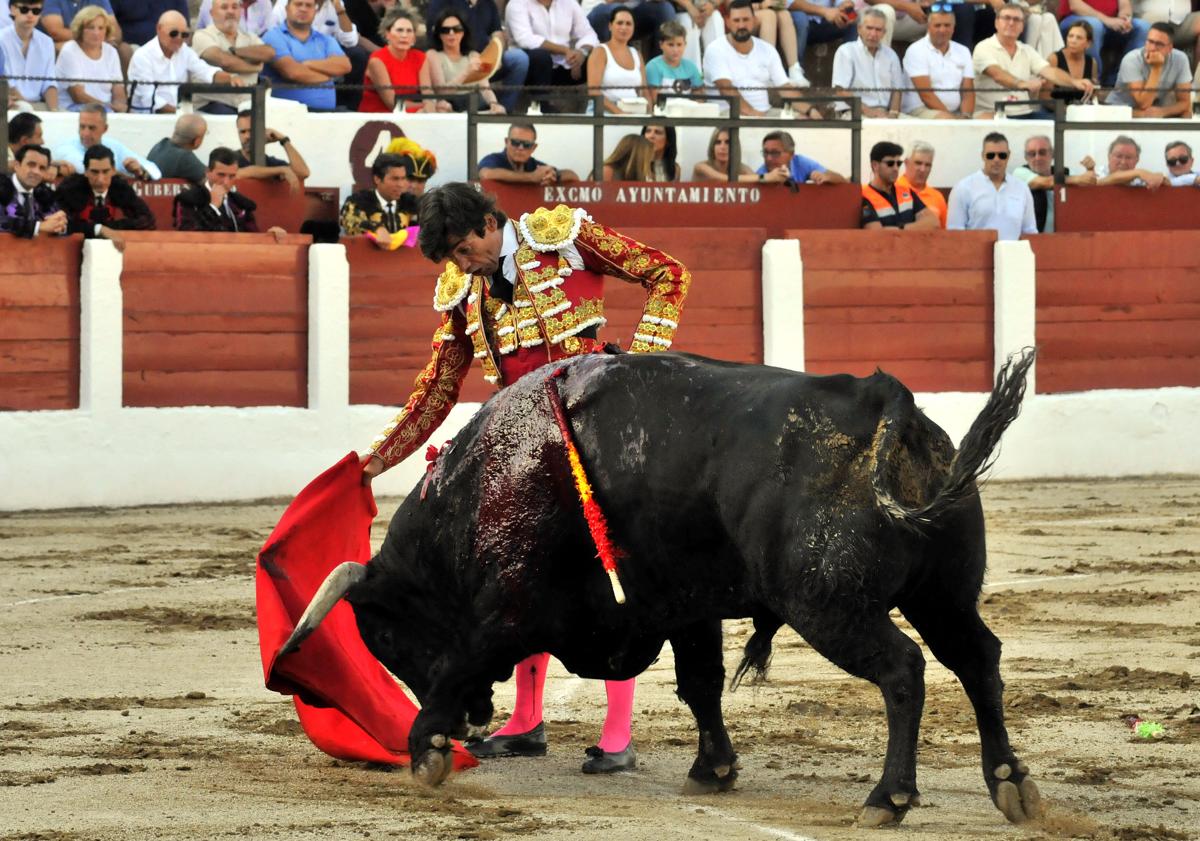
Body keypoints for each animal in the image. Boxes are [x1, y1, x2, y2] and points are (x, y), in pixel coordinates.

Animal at [280, 347, 1041, 825]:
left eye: (385, 639)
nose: (474, 723)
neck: (481, 485)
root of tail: (886, 401)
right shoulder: (683, 606)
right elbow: (700, 683)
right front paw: (714, 769)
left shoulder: (511, 603)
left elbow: (464, 657)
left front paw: (426, 749)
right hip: (942, 594)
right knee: (976, 659)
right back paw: (1011, 783)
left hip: (828, 603)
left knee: (903, 669)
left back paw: (889, 797)